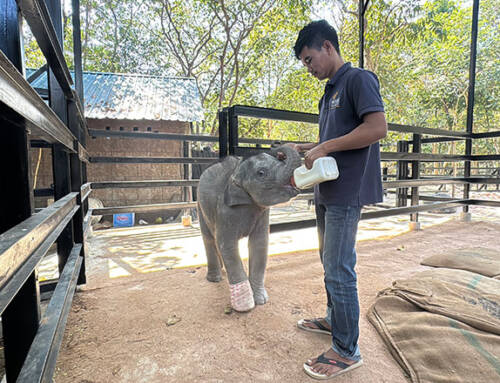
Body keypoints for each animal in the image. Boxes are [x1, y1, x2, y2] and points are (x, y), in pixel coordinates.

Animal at [198, 146, 300, 312]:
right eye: (261, 173)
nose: (278, 150)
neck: (235, 174)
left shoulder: (262, 212)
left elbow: (259, 244)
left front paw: (261, 300)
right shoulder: (224, 210)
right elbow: (228, 246)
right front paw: (245, 306)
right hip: (200, 206)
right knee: (209, 239)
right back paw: (214, 278)